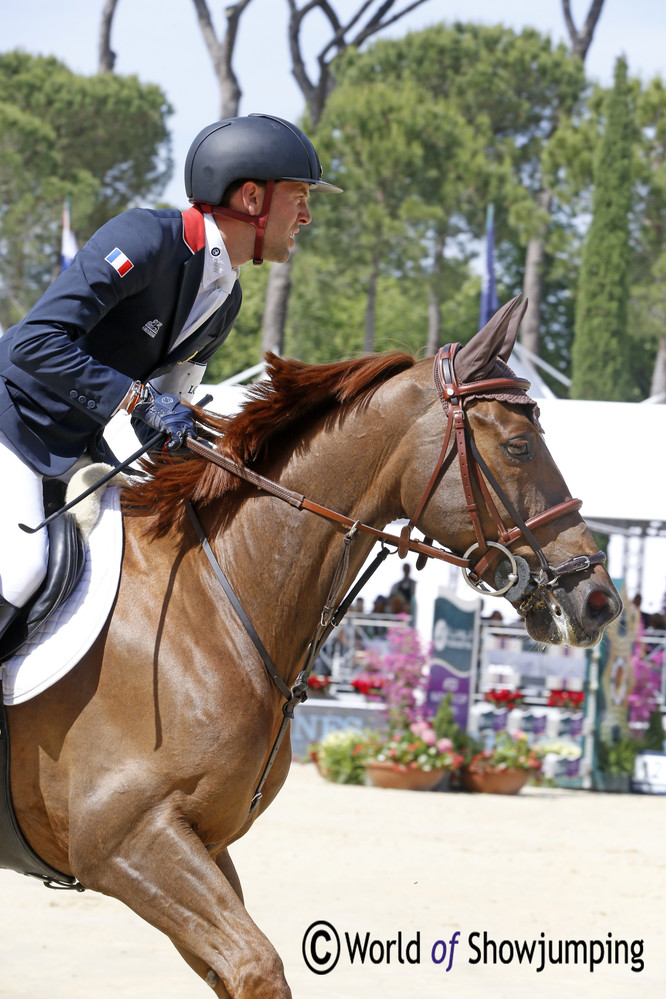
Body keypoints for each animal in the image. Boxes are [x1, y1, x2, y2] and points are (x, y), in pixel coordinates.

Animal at [3, 300, 616, 996]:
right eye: (518, 446)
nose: (600, 599)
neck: (215, 596)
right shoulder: (125, 842)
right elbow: (257, 967)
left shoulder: (203, 843)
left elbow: (246, 970)